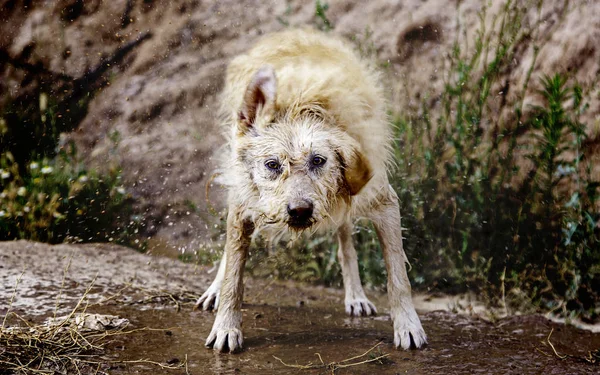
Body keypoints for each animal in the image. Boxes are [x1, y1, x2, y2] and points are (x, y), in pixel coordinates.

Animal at [198, 28, 426, 352]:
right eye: (272, 165)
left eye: (318, 160)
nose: (300, 210)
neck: (301, 104)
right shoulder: (244, 207)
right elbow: (234, 276)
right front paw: (226, 326)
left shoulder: (384, 203)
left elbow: (398, 277)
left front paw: (408, 325)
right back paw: (215, 289)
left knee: (346, 244)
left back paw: (356, 295)